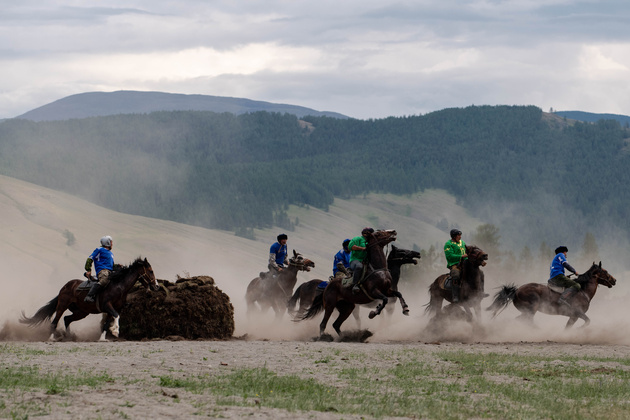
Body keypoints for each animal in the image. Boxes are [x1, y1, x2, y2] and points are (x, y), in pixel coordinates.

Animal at [19, 256, 159, 342]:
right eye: (151, 271)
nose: (156, 286)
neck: (119, 286)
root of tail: (65, 286)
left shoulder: (113, 309)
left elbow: (108, 322)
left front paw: (103, 338)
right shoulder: (108, 306)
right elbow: (116, 316)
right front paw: (115, 331)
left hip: (81, 312)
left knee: (67, 319)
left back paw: (69, 337)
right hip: (62, 305)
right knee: (56, 320)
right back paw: (52, 338)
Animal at [288, 243, 422, 324]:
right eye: (402, 251)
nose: (417, 253)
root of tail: (305, 284)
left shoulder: (390, 305)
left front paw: (405, 309)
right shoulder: (385, 305)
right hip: (305, 304)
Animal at [488, 262, 616, 328]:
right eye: (605, 271)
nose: (614, 280)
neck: (583, 291)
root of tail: (517, 291)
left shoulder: (573, 317)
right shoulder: (577, 313)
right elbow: (587, 321)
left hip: (527, 311)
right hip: (531, 310)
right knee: (526, 321)